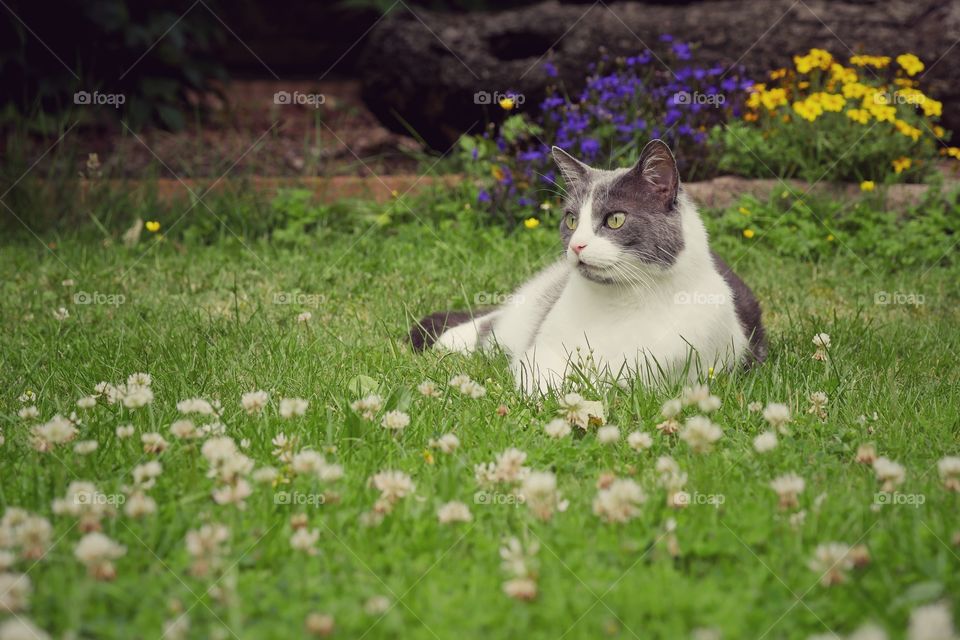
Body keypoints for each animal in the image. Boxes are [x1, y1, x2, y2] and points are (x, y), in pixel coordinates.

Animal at [406, 139, 764, 396]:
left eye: (615, 219)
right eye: (571, 219)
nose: (576, 245)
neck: (618, 303)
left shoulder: (669, 367)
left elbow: (611, 382)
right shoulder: (541, 347)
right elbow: (539, 373)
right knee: (492, 326)